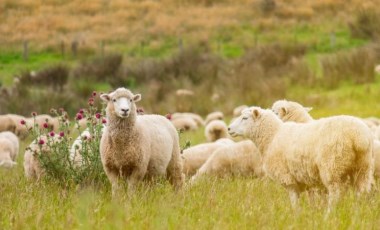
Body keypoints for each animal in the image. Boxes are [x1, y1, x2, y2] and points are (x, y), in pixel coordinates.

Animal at [229, 107, 374, 213]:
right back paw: (357, 213)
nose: (229, 128)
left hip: (333, 166)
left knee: (335, 194)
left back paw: (329, 215)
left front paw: (296, 216)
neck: (272, 136)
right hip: (363, 168)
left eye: (245, 118)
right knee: (362, 193)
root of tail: (358, 136)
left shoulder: (288, 178)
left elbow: (294, 201)